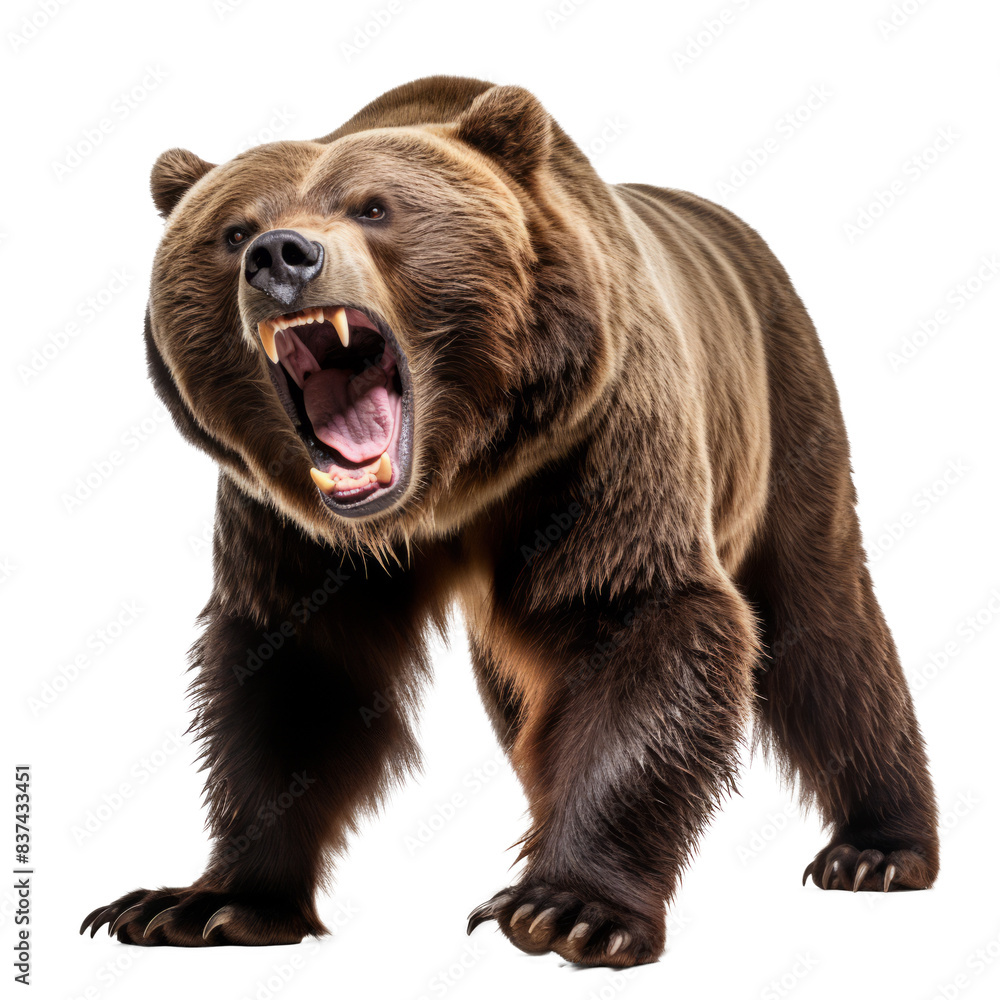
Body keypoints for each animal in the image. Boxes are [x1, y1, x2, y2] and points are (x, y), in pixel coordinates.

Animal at [80, 76, 939, 966]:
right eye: (233, 230)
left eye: (374, 208)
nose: (280, 256)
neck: (448, 486)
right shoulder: (290, 526)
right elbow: (294, 674)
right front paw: (200, 904)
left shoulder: (595, 445)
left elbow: (638, 622)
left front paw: (571, 908)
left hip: (784, 411)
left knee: (825, 629)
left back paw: (878, 847)